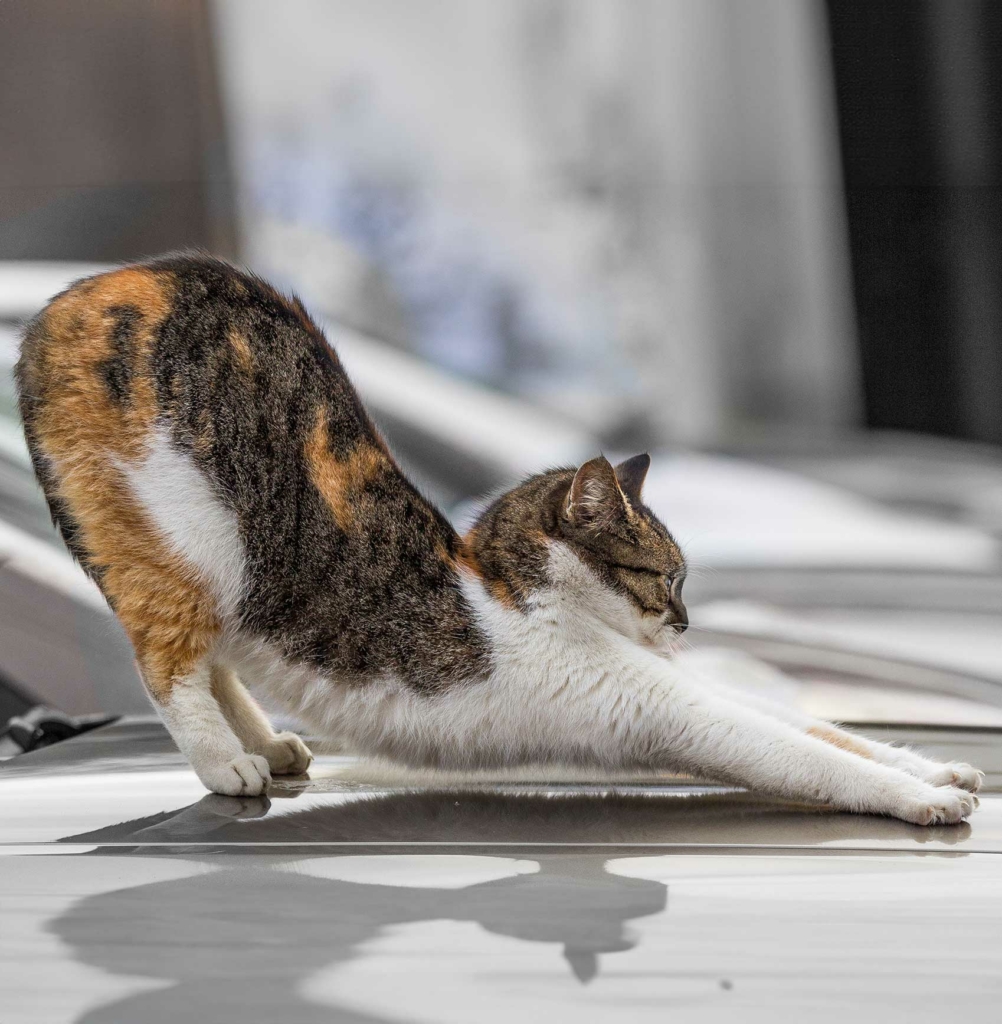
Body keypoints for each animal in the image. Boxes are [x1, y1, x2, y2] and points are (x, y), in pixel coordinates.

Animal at [15, 253, 982, 823]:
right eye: (666, 578)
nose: (684, 626)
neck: (522, 592)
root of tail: (81, 293)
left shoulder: (679, 685)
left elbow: (822, 727)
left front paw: (937, 768)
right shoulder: (667, 706)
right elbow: (800, 752)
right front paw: (917, 798)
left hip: (230, 574)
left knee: (213, 653)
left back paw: (267, 745)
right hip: (186, 538)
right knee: (167, 655)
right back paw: (227, 764)